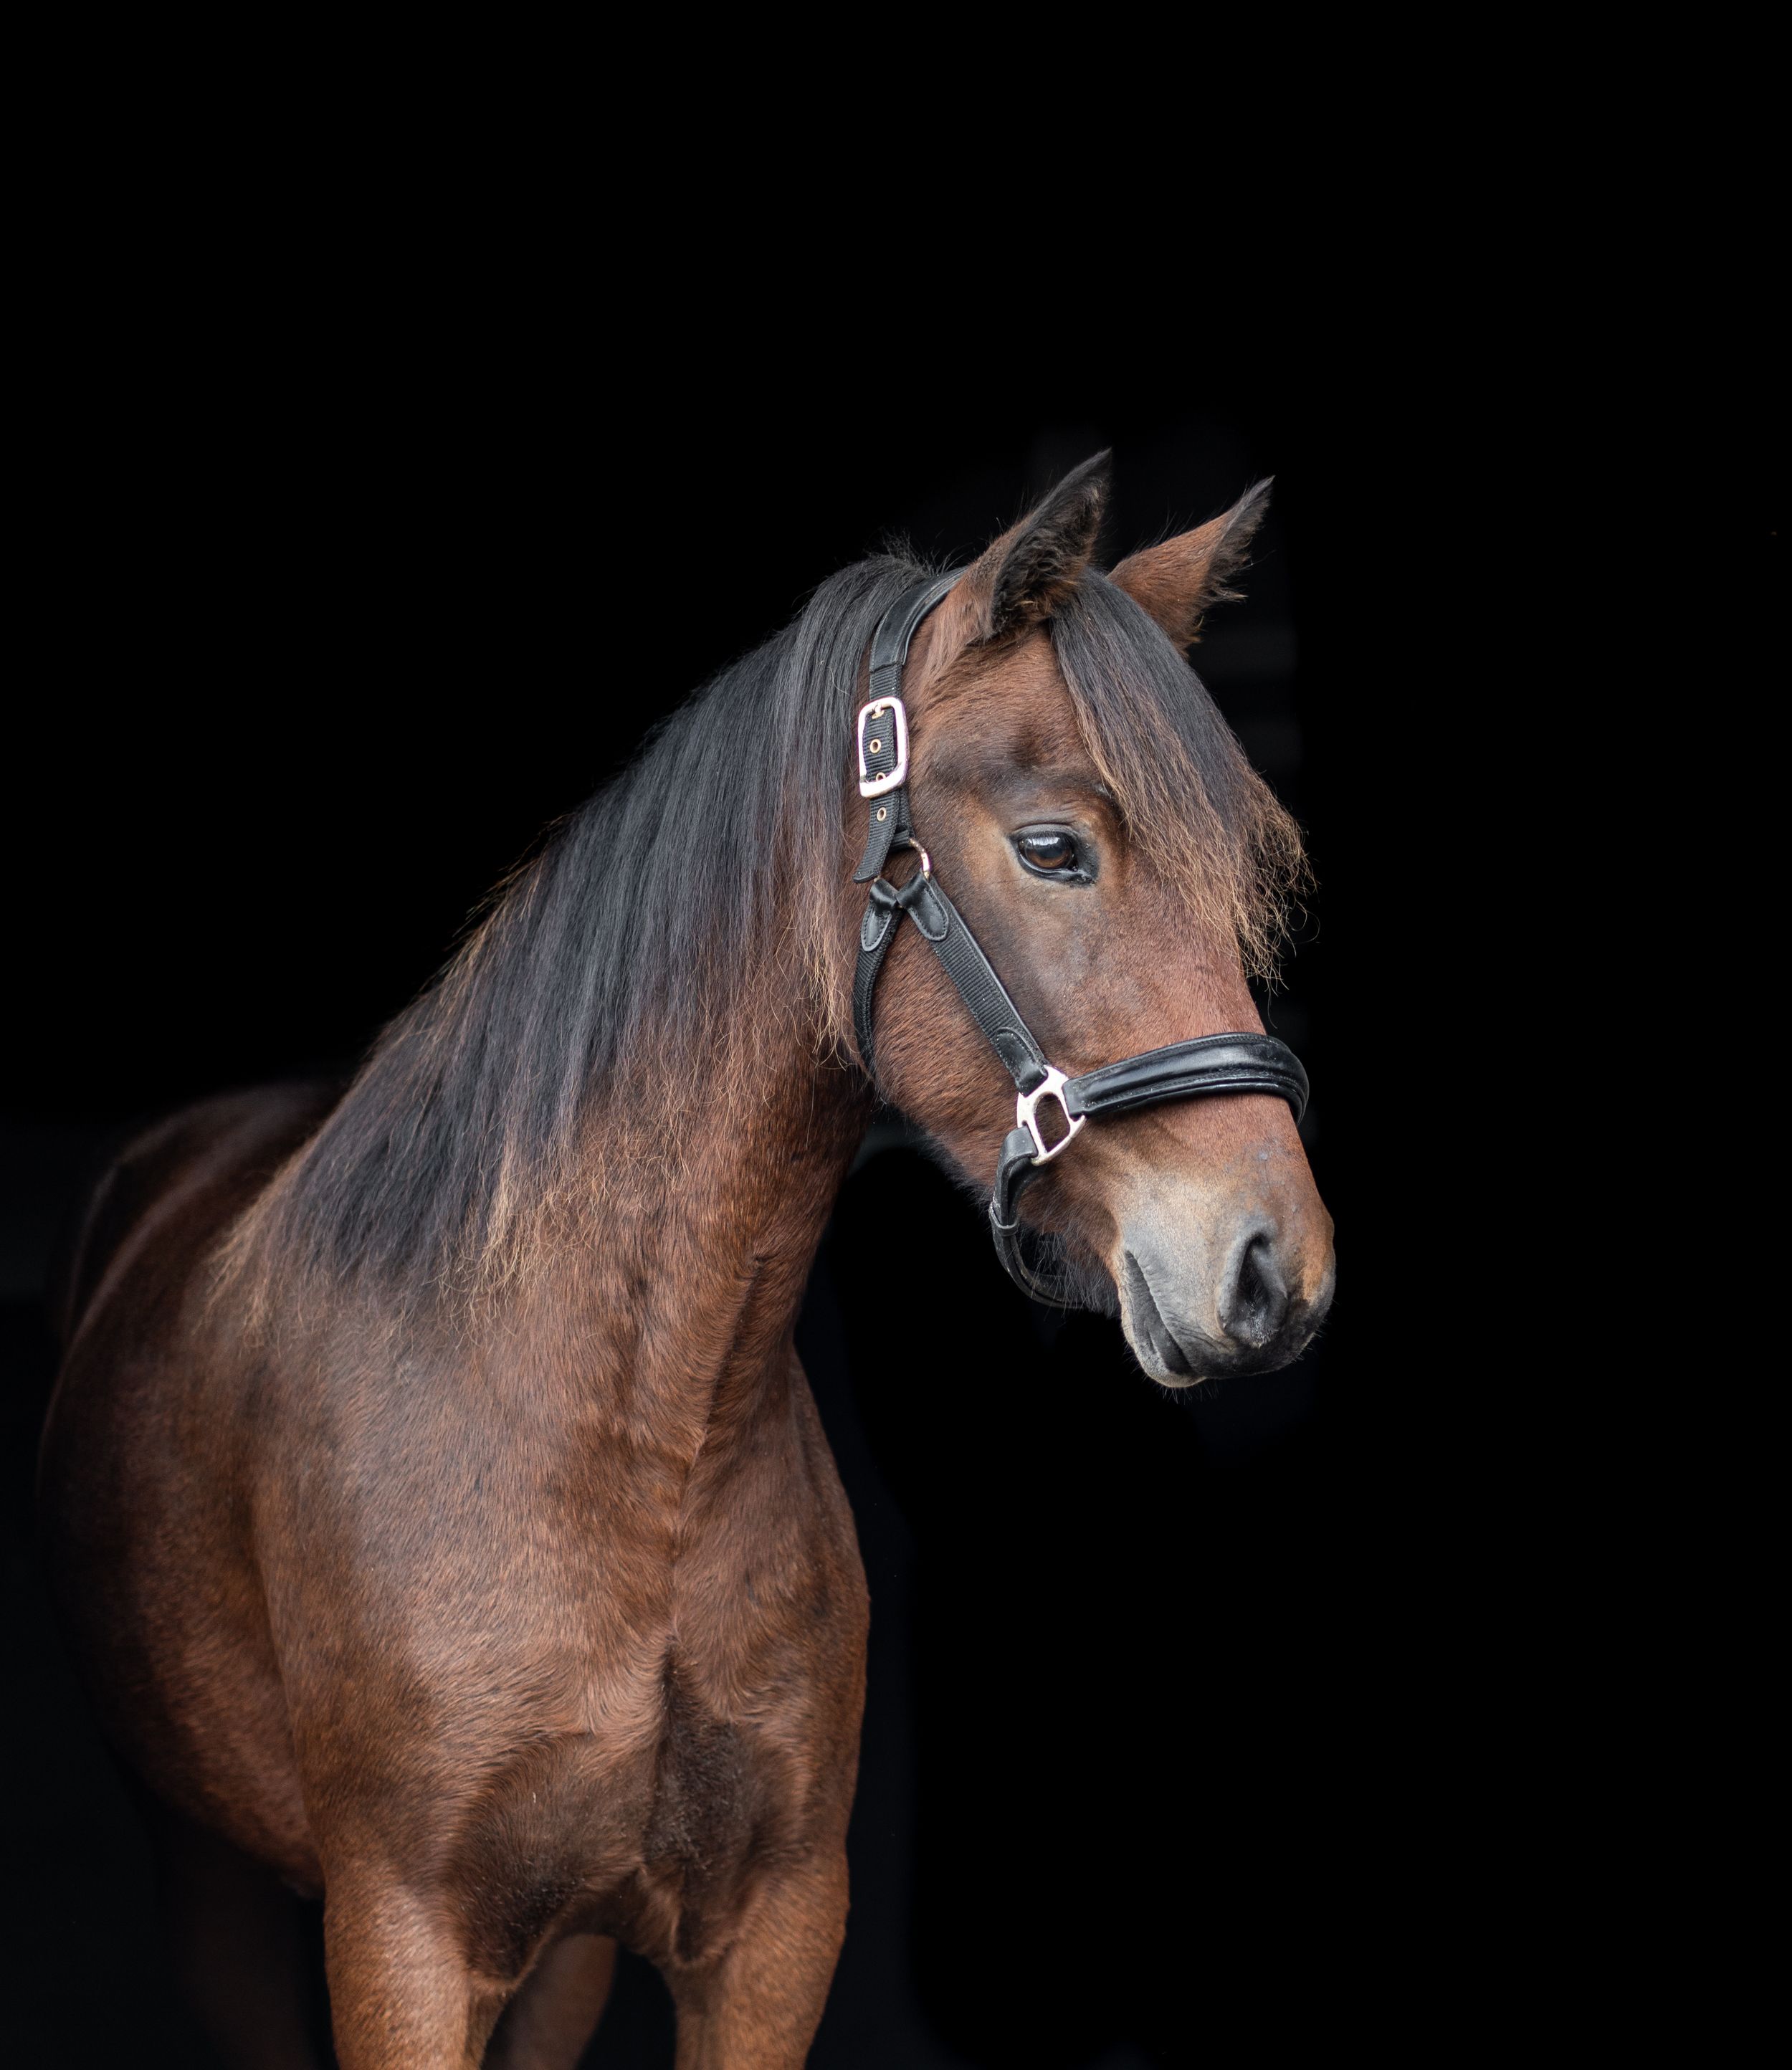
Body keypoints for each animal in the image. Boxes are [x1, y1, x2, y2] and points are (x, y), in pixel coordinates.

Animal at [38, 452, 1335, 2068]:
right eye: (1055, 849)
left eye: (1239, 875)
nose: (1274, 1266)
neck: (628, 1441)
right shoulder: (402, 1939)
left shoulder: (767, 1931)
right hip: (216, 1883)